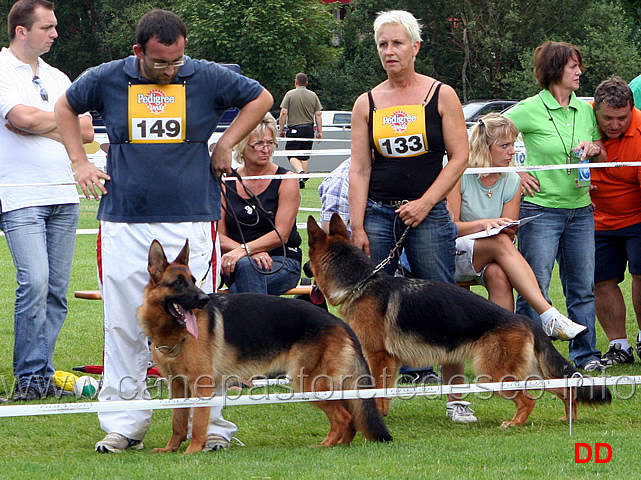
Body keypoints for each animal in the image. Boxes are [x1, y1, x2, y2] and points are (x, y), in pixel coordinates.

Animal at [138, 240, 392, 454]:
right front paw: (171, 448)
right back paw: (342, 444)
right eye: (179, 283)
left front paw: (192, 451)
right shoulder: (177, 385)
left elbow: (199, 422)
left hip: (309, 383)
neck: (175, 331)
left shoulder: (202, 385)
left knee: (343, 417)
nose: (204, 300)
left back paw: (325, 445)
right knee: (352, 416)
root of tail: (340, 322)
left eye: (192, 280)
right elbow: (178, 421)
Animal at [306, 215, 608, 428]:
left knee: (529, 398)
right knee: (563, 387)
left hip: (493, 373)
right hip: (526, 371)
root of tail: (526, 321)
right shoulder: (389, 361)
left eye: (309, 258)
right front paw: (383, 414)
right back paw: (568, 418)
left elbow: (378, 390)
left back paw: (514, 423)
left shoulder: (378, 356)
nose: (305, 270)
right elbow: (386, 392)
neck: (362, 283)